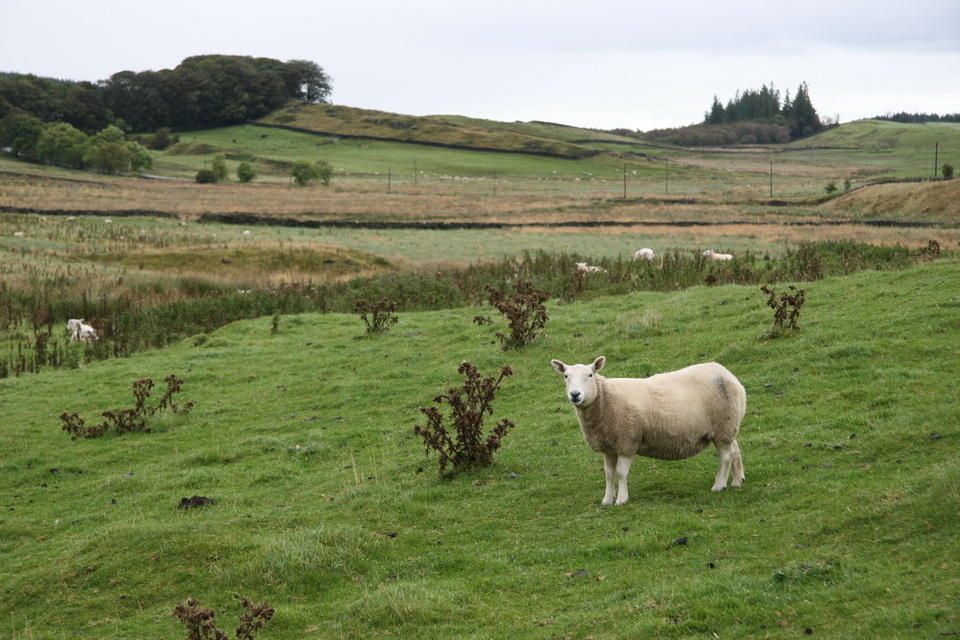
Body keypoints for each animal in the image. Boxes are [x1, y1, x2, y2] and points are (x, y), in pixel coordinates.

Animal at [551, 356, 746, 505]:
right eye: (566, 376)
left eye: (590, 375)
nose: (575, 394)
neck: (605, 399)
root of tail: (725, 372)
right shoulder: (608, 445)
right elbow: (609, 474)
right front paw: (607, 500)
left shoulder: (627, 441)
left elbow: (621, 473)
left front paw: (621, 499)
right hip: (726, 427)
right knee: (735, 448)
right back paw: (737, 480)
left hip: (723, 426)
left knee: (726, 456)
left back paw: (719, 485)